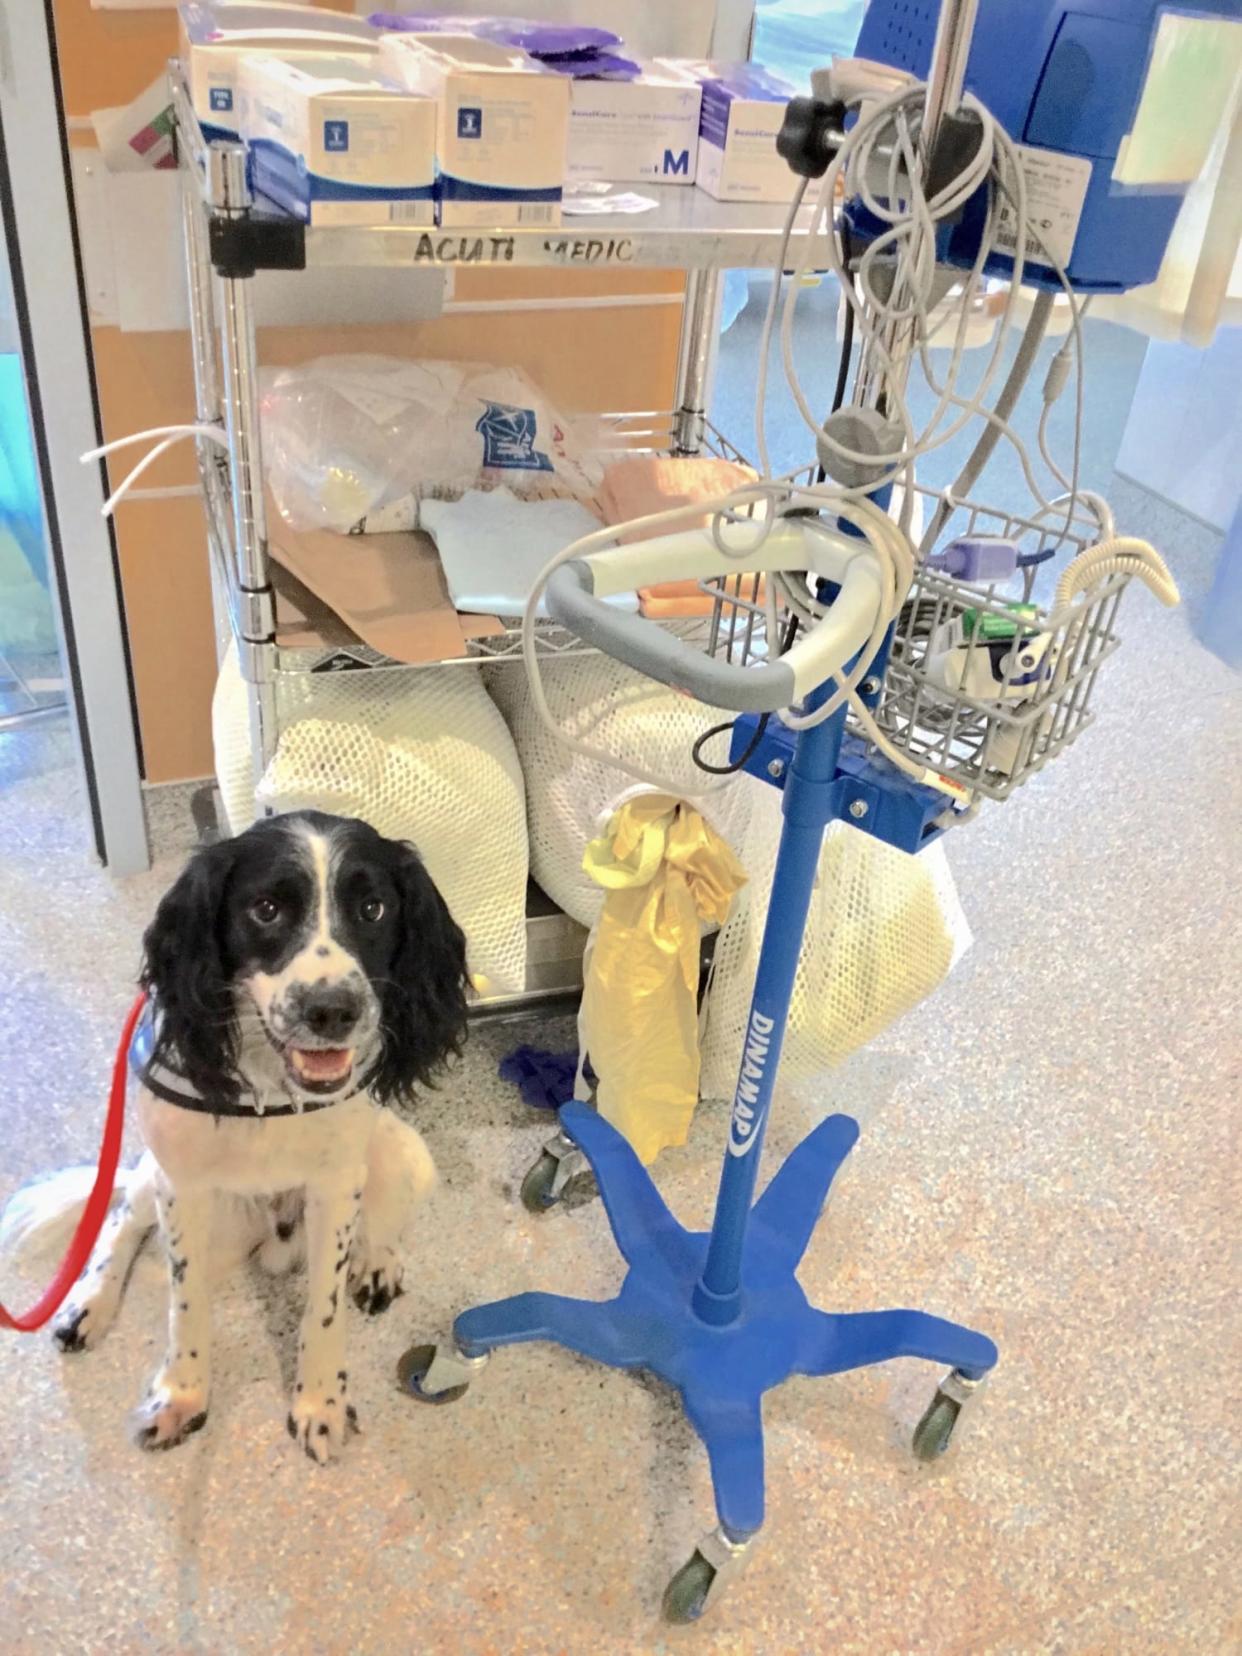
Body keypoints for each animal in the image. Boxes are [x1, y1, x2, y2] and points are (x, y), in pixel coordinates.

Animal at [4, 814, 470, 1463]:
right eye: (266, 909)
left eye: (373, 908)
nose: (333, 1010)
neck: (268, 1090)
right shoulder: (182, 1186)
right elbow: (185, 1305)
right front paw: (180, 1396)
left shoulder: (335, 1187)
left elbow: (323, 1310)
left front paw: (320, 1404)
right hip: (164, 1180)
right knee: (120, 1216)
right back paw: (89, 1303)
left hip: (402, 1152)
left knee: (381, 1219)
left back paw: (376, 1261)